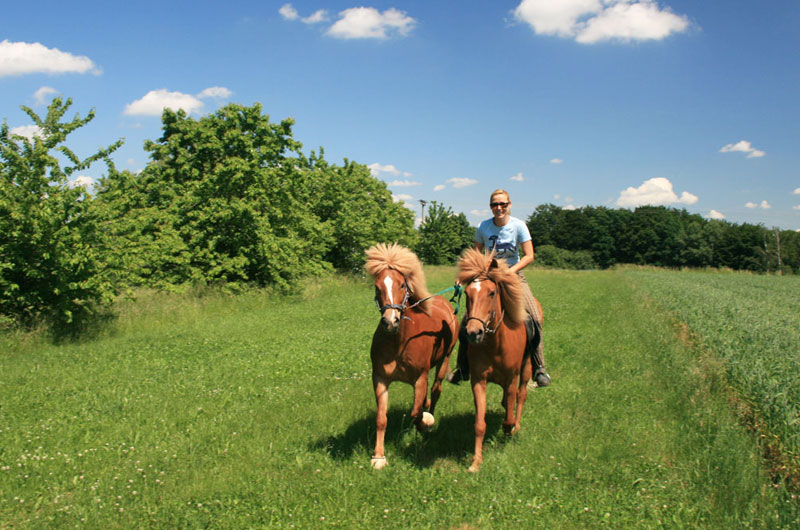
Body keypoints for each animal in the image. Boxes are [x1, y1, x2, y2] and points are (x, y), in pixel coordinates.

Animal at [362, 241, 456, 468]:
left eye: (402, 285)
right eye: (377, 287)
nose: (390, 321)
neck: (399, 344)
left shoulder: (419, 379)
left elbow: (415, 413)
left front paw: (426, 424)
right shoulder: (380, 379)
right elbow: (381, 418)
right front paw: (379, 457)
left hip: (445, 360)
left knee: (436, 390)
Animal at [456, 248, 544, 470]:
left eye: (492, 292)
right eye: (467, 294)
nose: (473, 333)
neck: (495, 344)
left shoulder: (512, 378)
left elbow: (509, 415)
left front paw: (509, 429)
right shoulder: (478, 380)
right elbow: (480, 423)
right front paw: (476, 462)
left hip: (526, 369)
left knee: (521, 396)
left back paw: (517, 426)